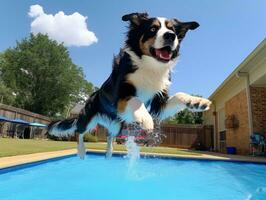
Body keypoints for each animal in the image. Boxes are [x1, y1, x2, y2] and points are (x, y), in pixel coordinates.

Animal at [48, 12, 212, 159]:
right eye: (153, 29)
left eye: (173, 30)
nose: (171, 36)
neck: (150, 66)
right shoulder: (121, 96)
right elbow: (136, 100)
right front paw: (146, 119)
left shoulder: (159, 104)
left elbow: (178, 95)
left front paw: (196, 101)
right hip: (88, 118)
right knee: (79, 131)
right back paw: (82, 152)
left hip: (116, 125)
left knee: (109, 135)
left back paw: (109, 153)